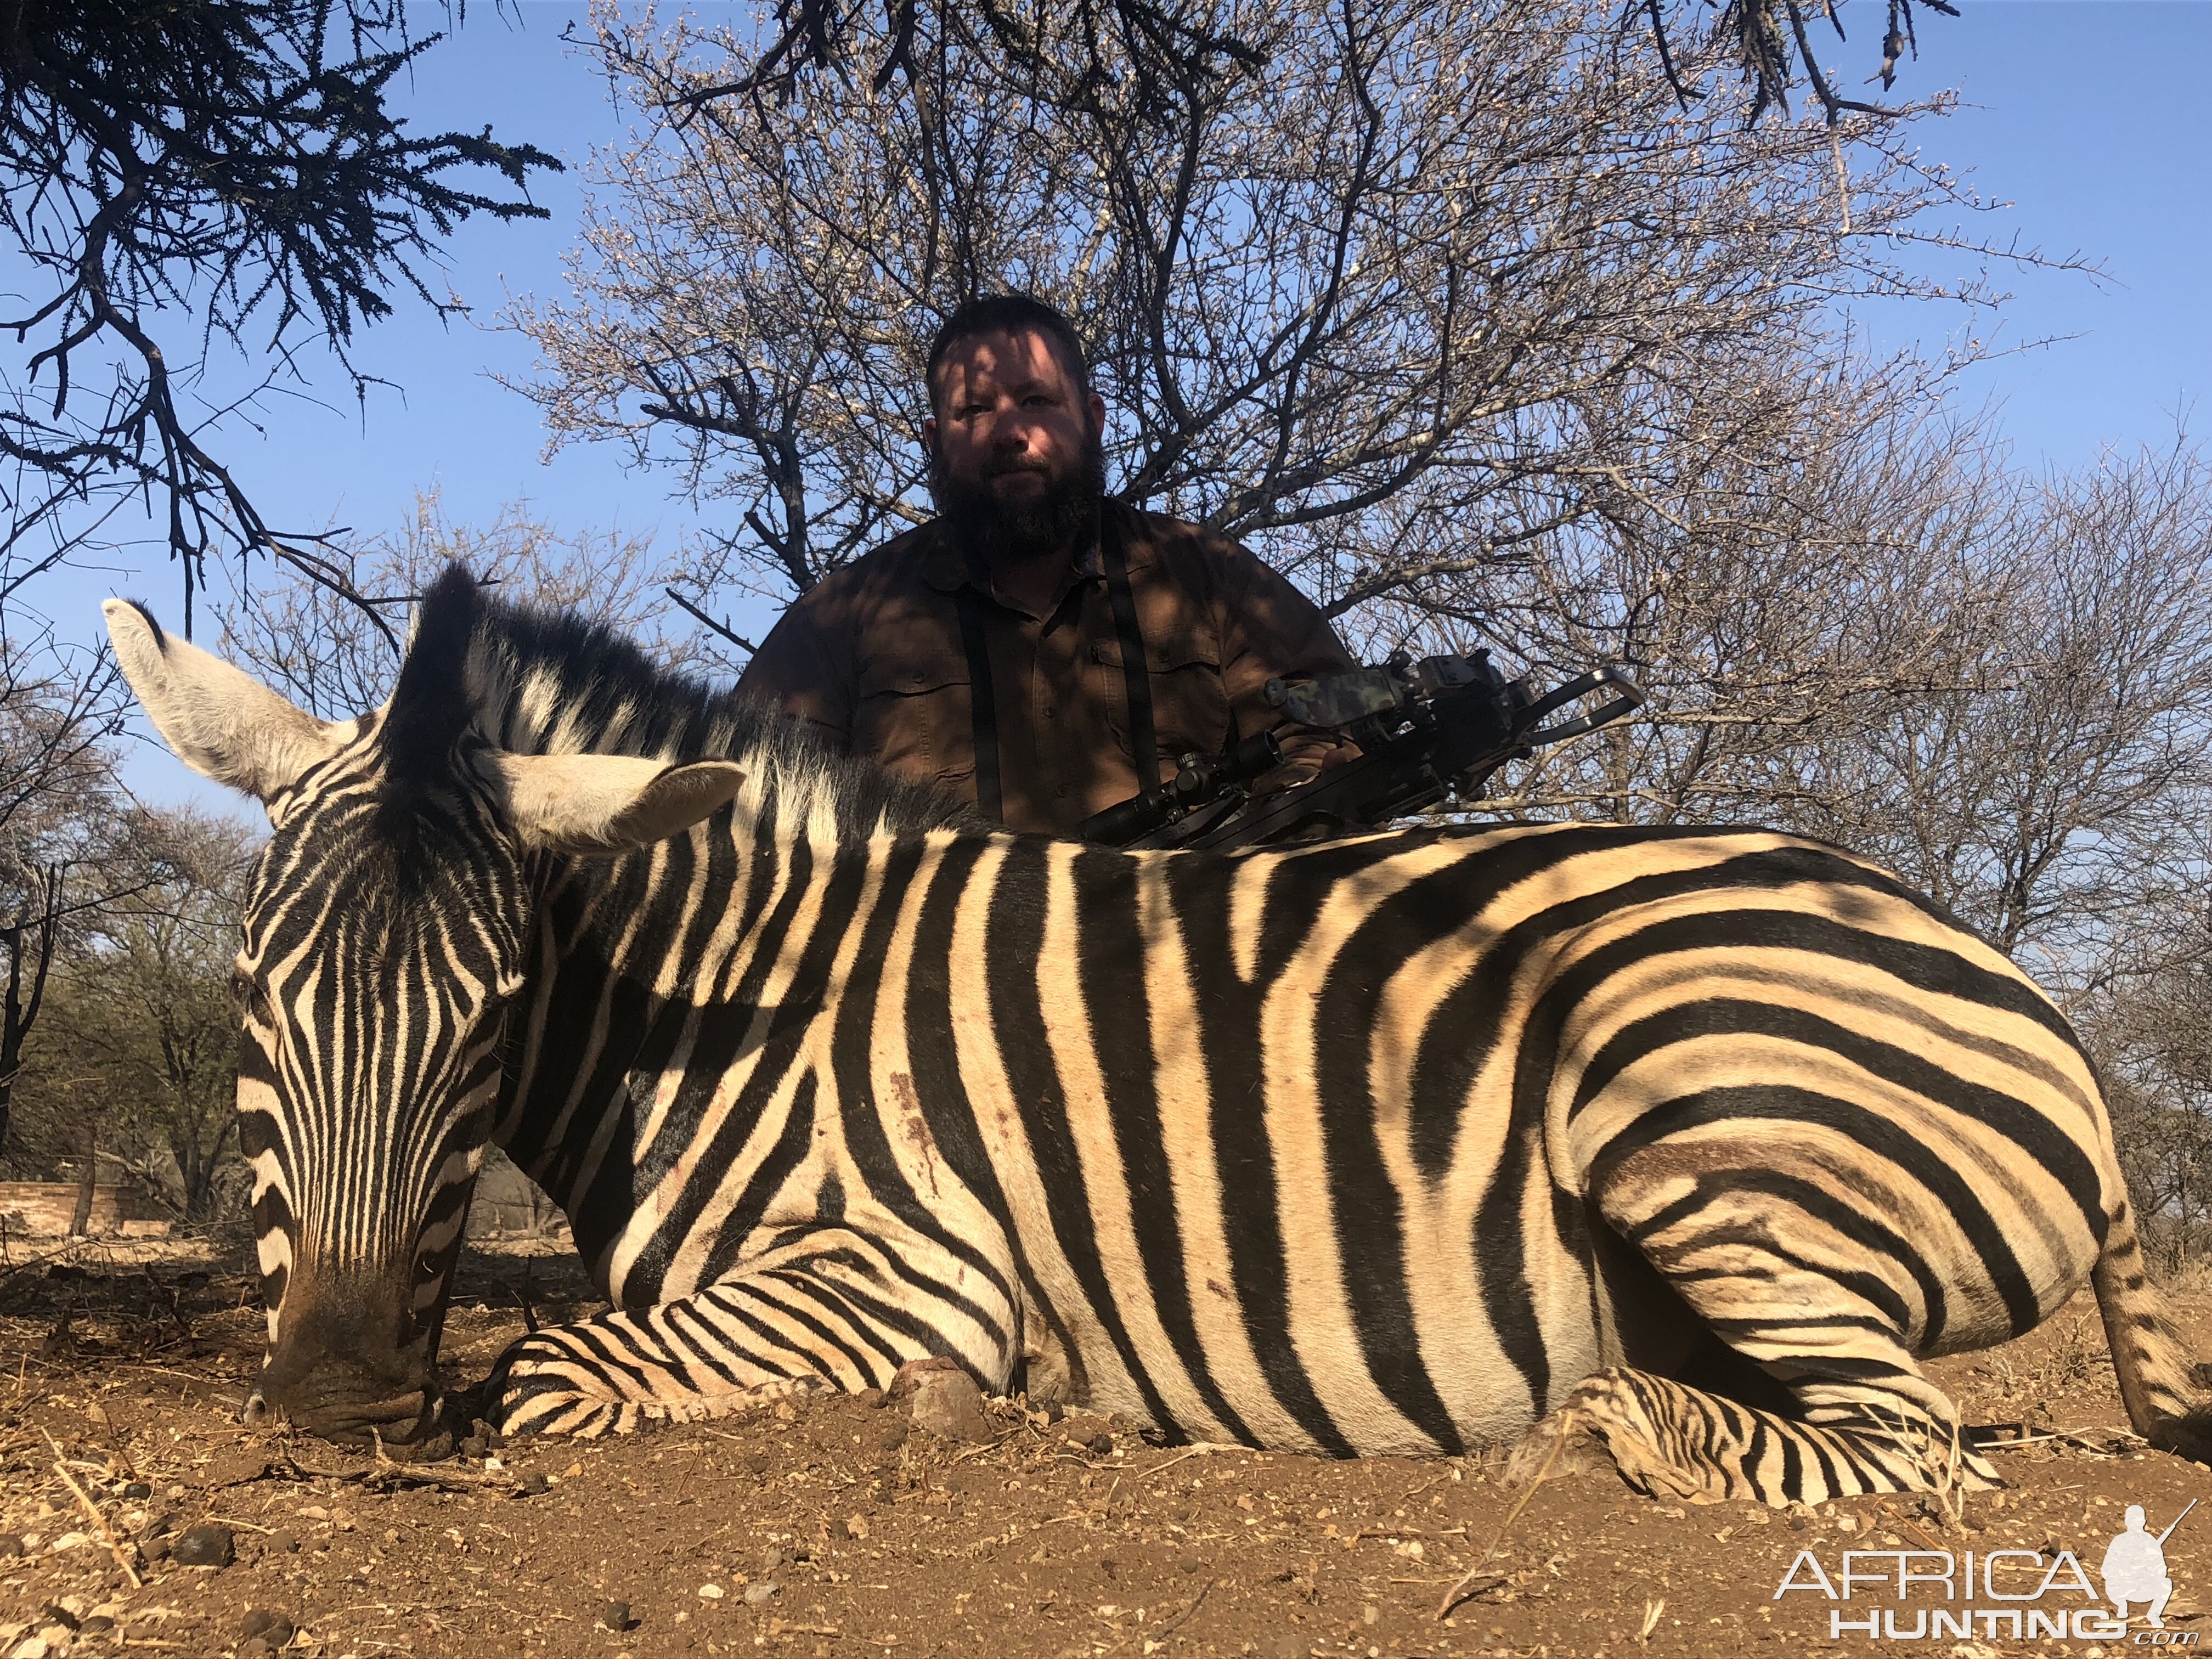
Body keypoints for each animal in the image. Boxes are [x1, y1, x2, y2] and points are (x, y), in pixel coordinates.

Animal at [99, 571, 2212, 1504]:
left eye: (494, 1010)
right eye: (248, 998)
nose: (339, 1399)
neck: (734, 1010)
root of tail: (2051, 1026)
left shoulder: (919, 1274)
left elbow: (548, 1368)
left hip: (1675, 1111)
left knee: (1919, 1447)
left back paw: (1606, 1427)